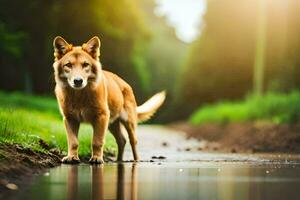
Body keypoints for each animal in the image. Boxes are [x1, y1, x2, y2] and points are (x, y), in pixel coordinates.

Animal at [53, 36, 166, 164]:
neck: (79, 96)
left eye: (86, 64)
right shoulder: (70, 119)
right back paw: (118, 160)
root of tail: (125, 84)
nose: (78, 81)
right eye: (68, 65)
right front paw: (72, 157)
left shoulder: (101, 117)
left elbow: (97, 141)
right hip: (112, 124)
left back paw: (136, 160)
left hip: (128, 122)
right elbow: (73, 141)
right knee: (122, 140)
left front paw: (97, 158)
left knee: (133, 141)